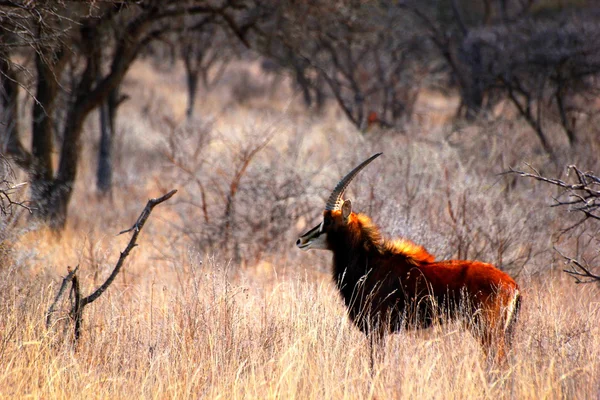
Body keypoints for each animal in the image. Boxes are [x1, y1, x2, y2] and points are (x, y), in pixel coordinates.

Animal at [296, 153, 520, 366]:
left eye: (328, 221)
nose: (300, 240)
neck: (370, 263)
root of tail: (513, 285)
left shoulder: (377, 330)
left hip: (486, 330)